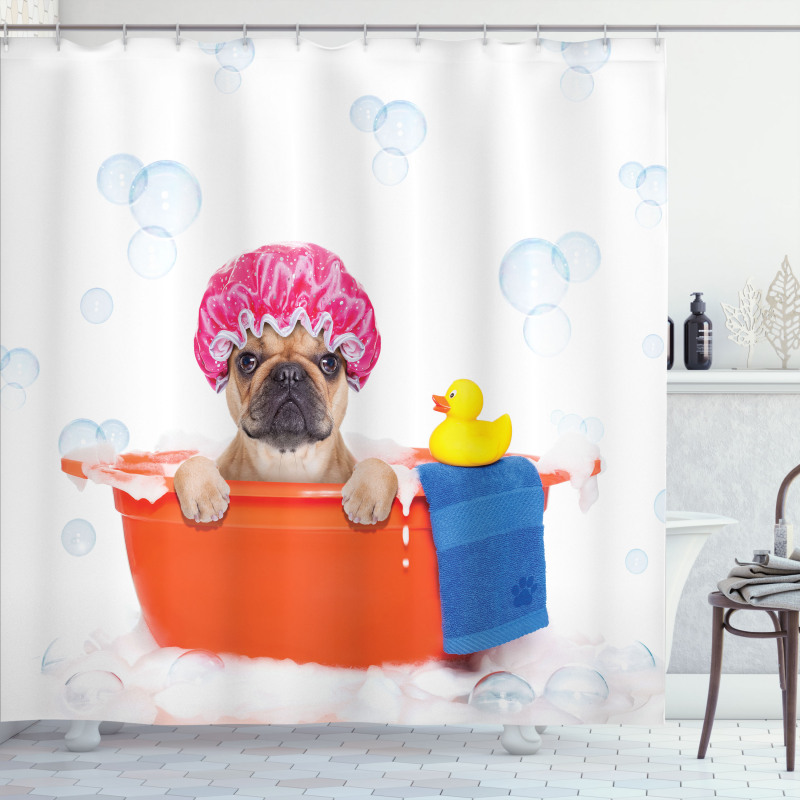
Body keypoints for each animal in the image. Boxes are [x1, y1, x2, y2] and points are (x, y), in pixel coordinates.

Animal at [176, 244, 400, 532]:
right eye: (247, 361)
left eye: (330, 363)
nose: (289, 373)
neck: (287, 461)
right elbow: (190, 463)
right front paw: (203, 491)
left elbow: (382, 465)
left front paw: (368, 493)